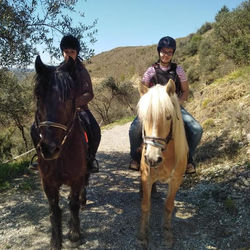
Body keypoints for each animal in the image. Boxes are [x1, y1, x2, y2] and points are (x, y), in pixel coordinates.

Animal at [31, 56, 88, 250]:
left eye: (69, 98)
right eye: (38, 96)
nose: (49, 148)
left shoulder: (77, 178)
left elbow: (73, 204)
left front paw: (74, 234)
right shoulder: (48, 183)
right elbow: (54, 210)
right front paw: (55, 240)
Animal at [137, 80, 188, 248]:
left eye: (168, 116)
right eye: (144, 117)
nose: (152, 158)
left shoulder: (176, 179)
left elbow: (169, 205)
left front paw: (167, 233)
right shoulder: (146, 176)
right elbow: (145, 206)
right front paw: (143, 235)